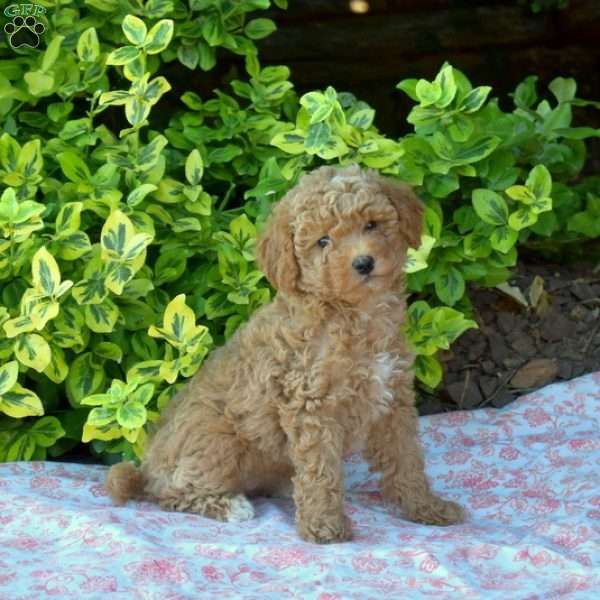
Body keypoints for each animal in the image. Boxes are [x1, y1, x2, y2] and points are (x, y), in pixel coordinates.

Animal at [108, 163, 464, 544]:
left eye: (371, 224)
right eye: (323, 241)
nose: (363, 262)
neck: (355, 315)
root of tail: (146, 469)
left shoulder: (393, 400)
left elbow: (406, 460)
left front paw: (427, 508)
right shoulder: (312, 406)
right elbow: (320, 474)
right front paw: (325, 528)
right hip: (216, 439)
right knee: (171, 492)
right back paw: (230, 506)